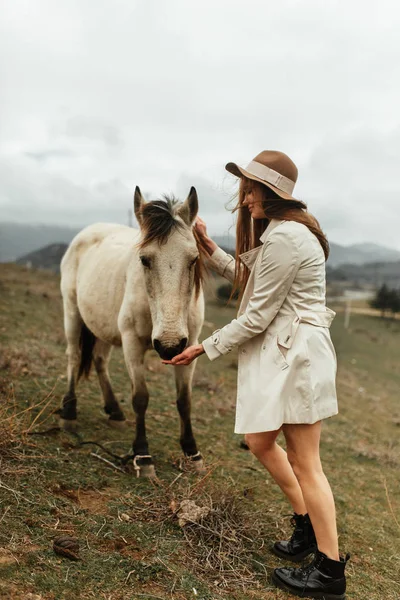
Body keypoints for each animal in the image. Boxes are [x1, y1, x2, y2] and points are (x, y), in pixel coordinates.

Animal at [59, 188, 206, 478]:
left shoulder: (190, 347)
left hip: (103, 326)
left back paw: (114, 411)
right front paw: (143, 456)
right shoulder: (132, 344)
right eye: (144, 259)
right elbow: (141, 398)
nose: (169, 346)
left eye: (193, 259)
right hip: (72, 312)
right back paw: (69, 412)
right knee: (74, 355)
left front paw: (192, 453)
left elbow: (184, 400)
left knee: (99, 360)